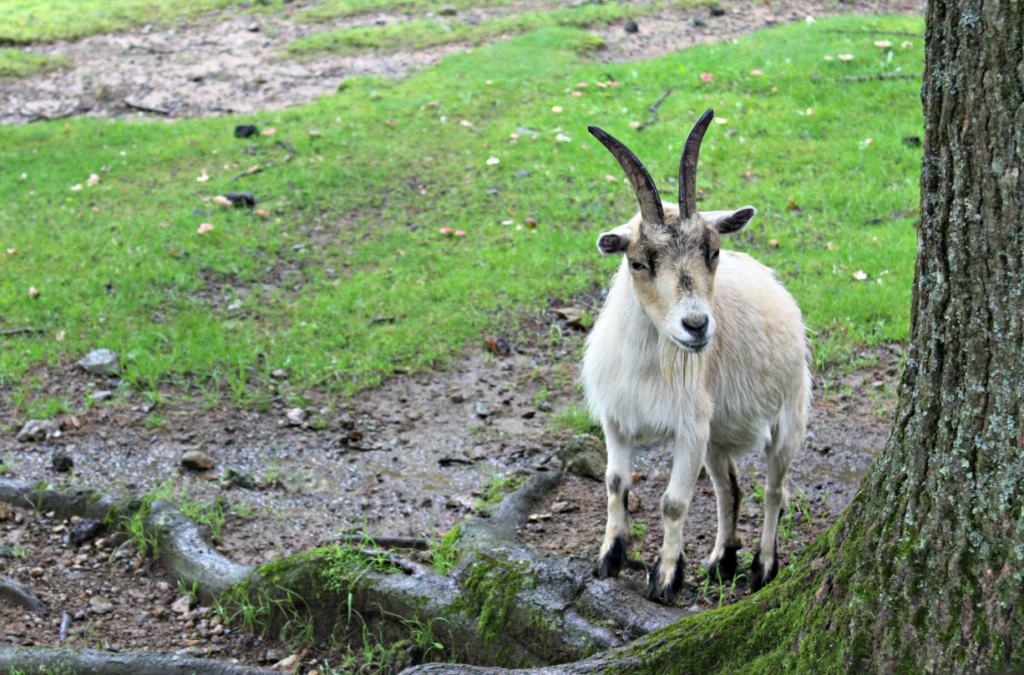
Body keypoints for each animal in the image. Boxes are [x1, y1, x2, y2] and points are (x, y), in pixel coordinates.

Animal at [585, 108, 806, 606]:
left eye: (713, 251)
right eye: (637, 262)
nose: (697, 326)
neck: (647, 365)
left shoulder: (689, 428)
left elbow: (673, 503)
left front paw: (666, 579)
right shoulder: (616, 418)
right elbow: (614, 483)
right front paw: (610, 558)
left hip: (789, 417)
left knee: (773, 491)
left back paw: (763, 567)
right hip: (718, 435)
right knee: (730, 490)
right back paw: (721, 562)